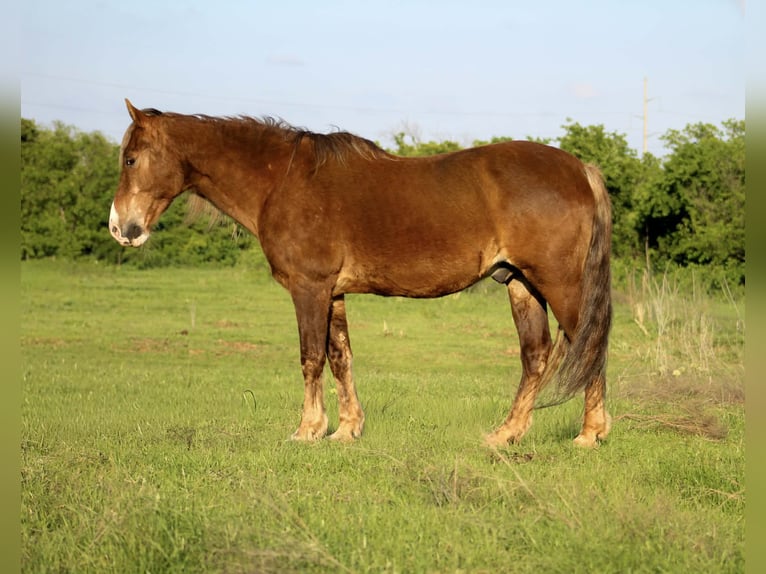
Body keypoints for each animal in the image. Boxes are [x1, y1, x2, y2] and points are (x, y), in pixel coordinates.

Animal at [109, 99, 612, 447]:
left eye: (130, 159)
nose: (120, 228)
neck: (282, 182)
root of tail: (579, 168)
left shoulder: (309, 289)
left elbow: (311, 356)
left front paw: (307, 430)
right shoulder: (332, 292)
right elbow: (340, 357)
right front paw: (346, 430)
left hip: (560, 284)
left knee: (589, 346)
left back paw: (590, 433)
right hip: (520, 284)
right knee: (536, 355)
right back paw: (506, 434)